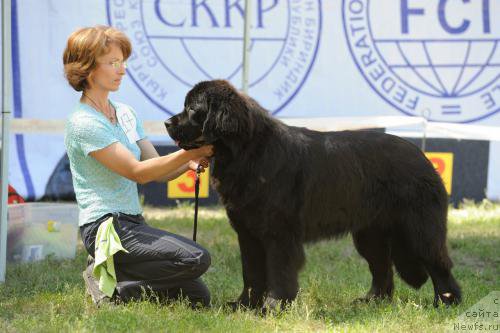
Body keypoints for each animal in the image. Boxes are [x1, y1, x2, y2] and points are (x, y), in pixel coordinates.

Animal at [166, 79, 462, 310]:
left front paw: (274, 305)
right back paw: (372, 301)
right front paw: (244, 305)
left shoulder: (280, 233)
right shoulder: (247, 233)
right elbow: (251, 272)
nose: (167, 122)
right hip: (370, 234)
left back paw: (446, 302)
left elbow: (280, 271)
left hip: (419, 229)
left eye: (192, 109)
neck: (247, 152)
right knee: (382, 268)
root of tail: (422, 156)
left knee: (438, 263)